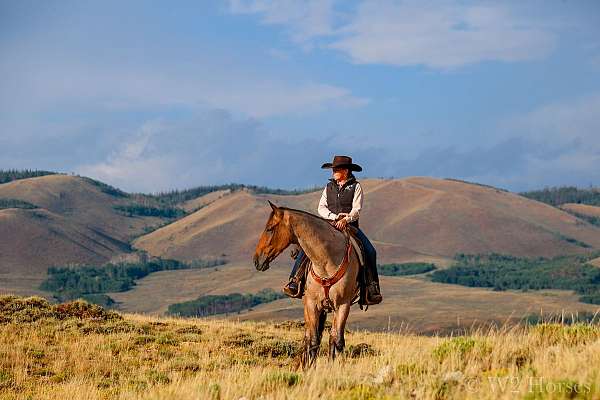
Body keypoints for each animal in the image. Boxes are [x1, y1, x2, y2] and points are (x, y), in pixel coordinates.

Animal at [253, 202, 360, 368]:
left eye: (270, 229)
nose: (256, 260)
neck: (326, 261)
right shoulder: (312, 304)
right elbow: (313, 340)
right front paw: (310, 368)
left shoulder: (343, 305)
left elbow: (337, 340)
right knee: (308, 336)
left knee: (331, 336)